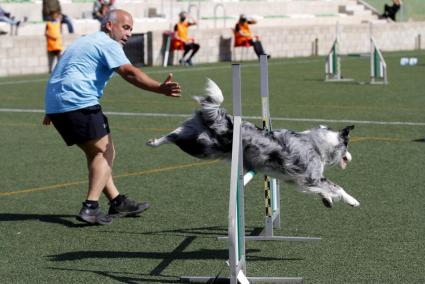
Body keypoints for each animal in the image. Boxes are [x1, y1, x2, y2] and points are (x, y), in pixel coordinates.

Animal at [146, 79, 358, 207]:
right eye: (347, 147)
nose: (351, 158)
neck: (317, 144)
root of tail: (222, 118)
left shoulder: (299, 180)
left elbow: (323, 190)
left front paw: (327, 199)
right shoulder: (311, 177)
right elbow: (336, 187)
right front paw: (352, 200)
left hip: (197, 139)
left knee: (174, 135)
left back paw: (153, 142)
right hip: (206, 148)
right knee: (177, 139)